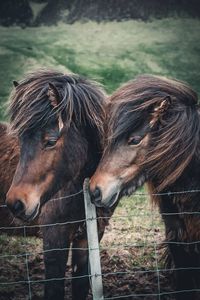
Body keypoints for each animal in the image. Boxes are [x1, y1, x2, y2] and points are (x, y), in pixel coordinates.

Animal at [5, 71, 115, 300]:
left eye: (51, 141)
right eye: (20, 139)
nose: (16, 203)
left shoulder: (86, 241)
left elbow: (80, 286)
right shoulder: (54, 241)